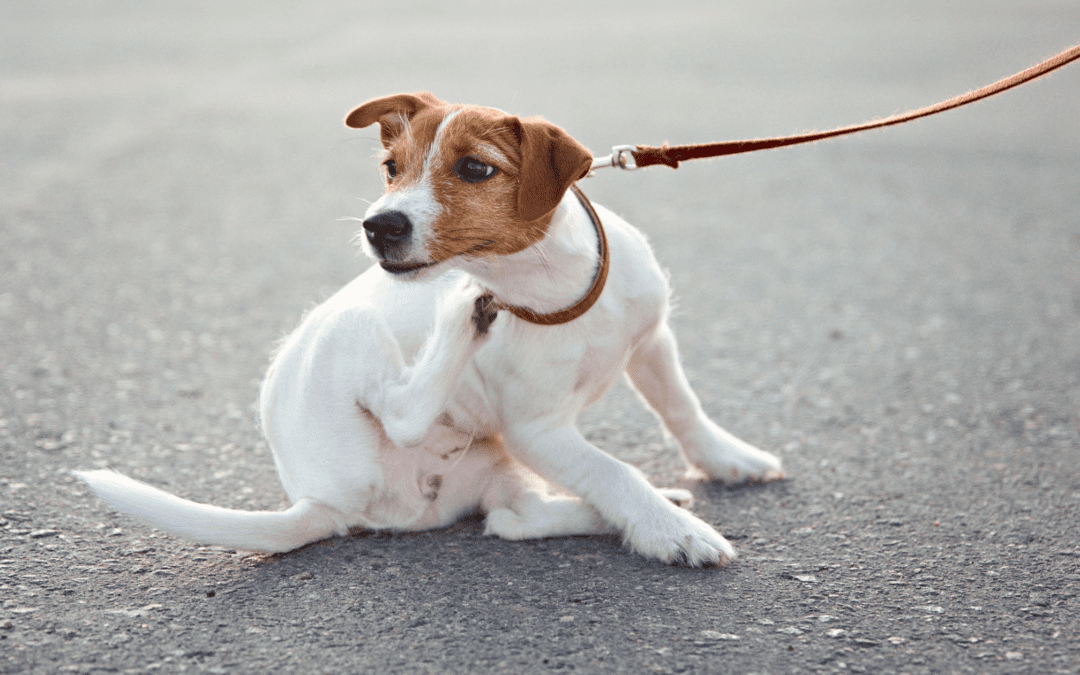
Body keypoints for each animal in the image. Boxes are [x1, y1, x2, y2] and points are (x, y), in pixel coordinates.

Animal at [78, 92, 786, 565]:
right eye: (391, 167)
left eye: (475, 168)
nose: (379, 225)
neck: (550, 294)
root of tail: (318, 500)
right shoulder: (538, 431)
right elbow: (615, 472)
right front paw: (671, 533)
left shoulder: (651, 342)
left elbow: (682, 409)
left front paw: (726, 462)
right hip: (353, 329)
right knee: (404, 413)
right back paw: (460, 318)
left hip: (493, 466)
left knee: (512, 520)